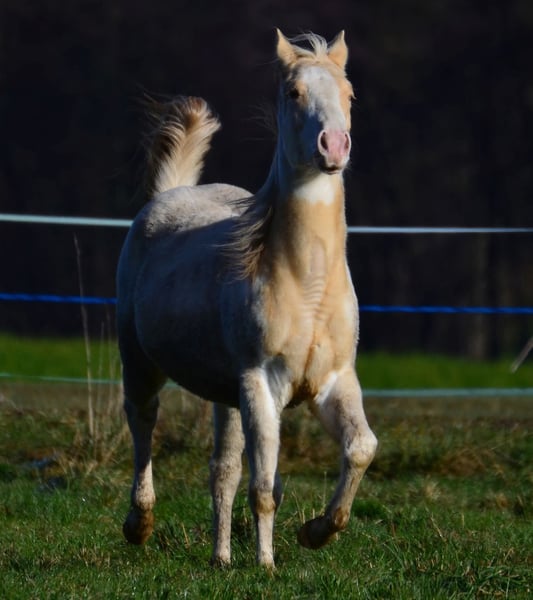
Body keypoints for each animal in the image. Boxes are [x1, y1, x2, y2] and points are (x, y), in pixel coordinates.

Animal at [117, 29, 377, 568]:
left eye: (349, 94)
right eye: (294, 92)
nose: (334, 146)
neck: (307, 286)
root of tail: (169, 195)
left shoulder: (334, 381)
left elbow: (360, 447)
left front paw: (317, 532)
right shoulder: (261, 383)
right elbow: (263, 487)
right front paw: (267, 564)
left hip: (225, 396)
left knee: (222, 469)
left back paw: (220, 558)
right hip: (140, 360)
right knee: (142, 422)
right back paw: (139, 525)